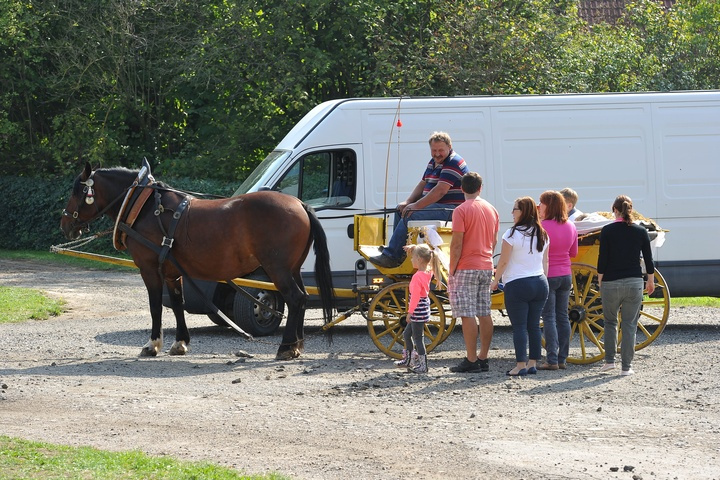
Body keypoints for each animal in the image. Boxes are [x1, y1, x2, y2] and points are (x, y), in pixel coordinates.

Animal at [59, 163, 334, 358]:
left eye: (78, 191)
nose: (65, 224)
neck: (145, 208)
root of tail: (300, 204)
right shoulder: (171, 271)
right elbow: (177, 304)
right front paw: (180, 342)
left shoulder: (149, 269)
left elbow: (155, 305)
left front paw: (152, 345)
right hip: (293, 268)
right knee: (302, 298)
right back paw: (296, 345)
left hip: (277, 269)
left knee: (295, 298)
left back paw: (286, 347)